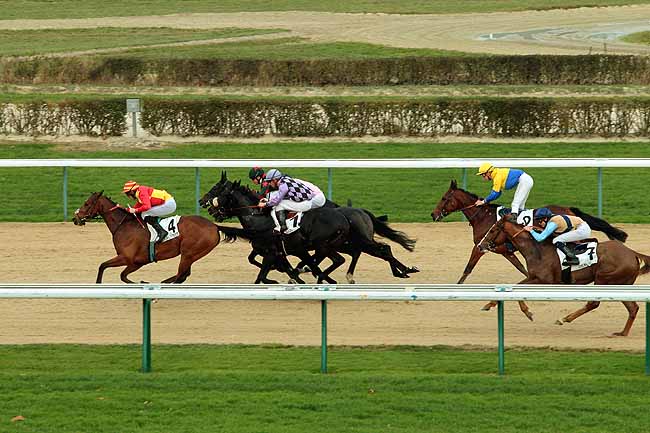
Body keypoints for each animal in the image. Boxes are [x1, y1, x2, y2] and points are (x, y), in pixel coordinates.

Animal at [73, 191, 220, 282]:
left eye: (86, 204)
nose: (75, 218)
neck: (124, 225)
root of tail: (214, 226)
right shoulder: (138, 262)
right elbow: (121, 275)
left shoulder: (126, 258)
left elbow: (104, 266)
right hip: (191, 255)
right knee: (183, 275)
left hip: (189, 253)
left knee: (181, 275)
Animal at [476, 214, 648, 336]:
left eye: (492, 230)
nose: (480, 245)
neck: (537, 249)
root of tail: (632, 253)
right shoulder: (533, 276)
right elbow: (515, 287)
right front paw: (490, 303)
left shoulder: (544, 280)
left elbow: (519, 289)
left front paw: (527, 312)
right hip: (620, 284)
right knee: (633, 308)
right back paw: (622, 333)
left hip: (604, 279)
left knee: (594, 303)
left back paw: (564, 318)